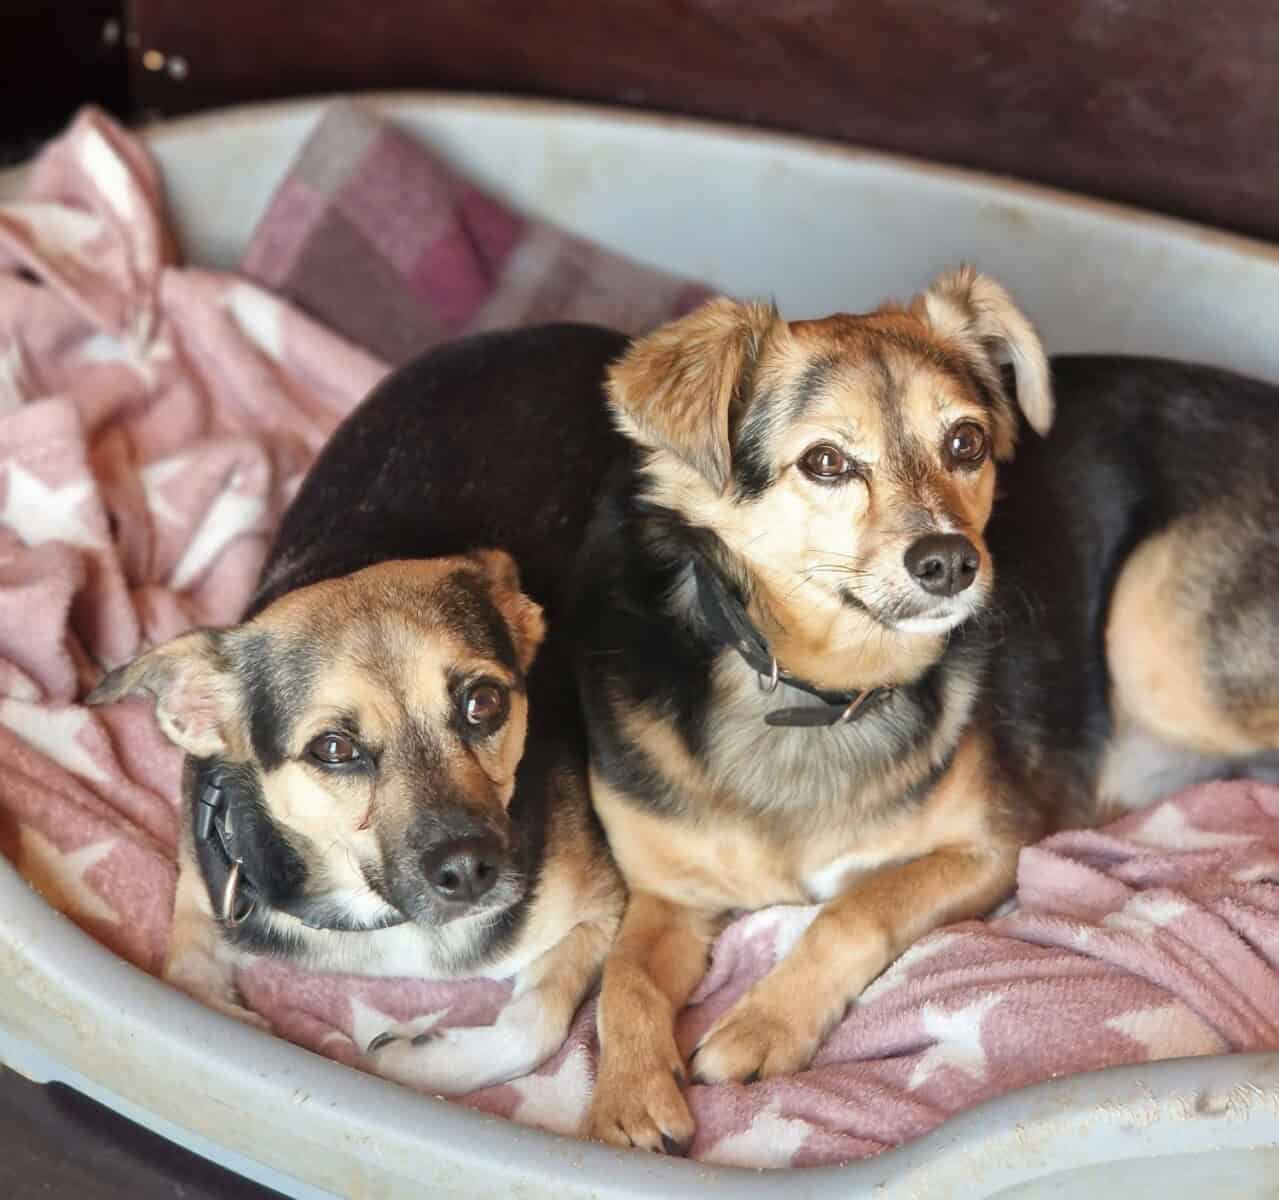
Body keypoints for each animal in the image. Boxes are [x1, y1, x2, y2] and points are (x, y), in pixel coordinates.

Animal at [88, 324, 631, 1095]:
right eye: (334, 750)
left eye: (484, 702)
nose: (469, 871)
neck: (381, 922)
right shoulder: (200, 892)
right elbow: (187, 981)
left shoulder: (597, 908)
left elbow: (533, 1025)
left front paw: (414, 1059)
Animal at [572, 268, 1279, 1150]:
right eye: (826, 461)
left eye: (965, 443)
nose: (949, 561)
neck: (815, 696)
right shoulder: (668, 896)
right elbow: (623, 976)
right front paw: (628, 1098)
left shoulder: (989, 850)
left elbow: (852, 908)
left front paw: (763, 1023)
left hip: (1160, 644)